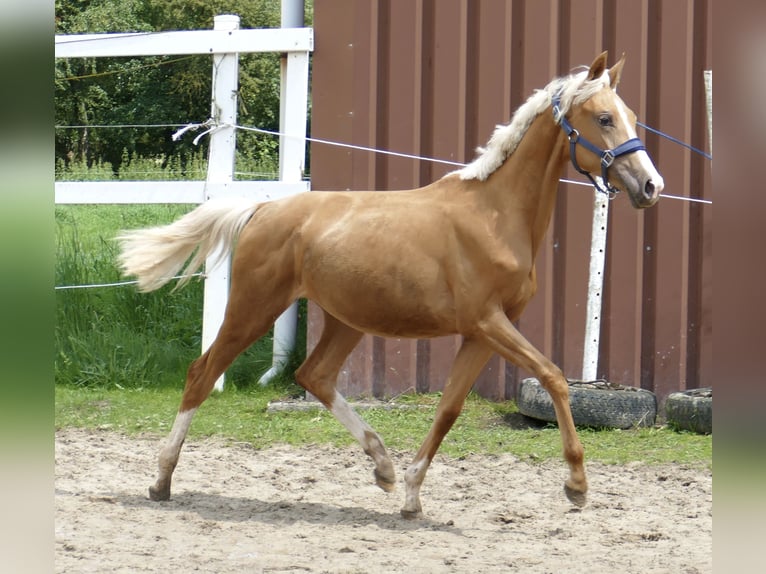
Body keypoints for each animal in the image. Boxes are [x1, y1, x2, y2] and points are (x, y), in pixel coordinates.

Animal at [118, 53, 660, 520]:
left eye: (632, 115)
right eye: (605, 118)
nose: (651, 186)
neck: (494, 215)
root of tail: (263, 209)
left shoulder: (483, 333)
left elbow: (448, 409)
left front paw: (413, 497)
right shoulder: (489, 321)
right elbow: (553, 377)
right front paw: (577, 486)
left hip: (346, 320)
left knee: (314, 375)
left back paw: (383, 467)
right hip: (254, 307)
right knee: (201, 374)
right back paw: (161, 481)